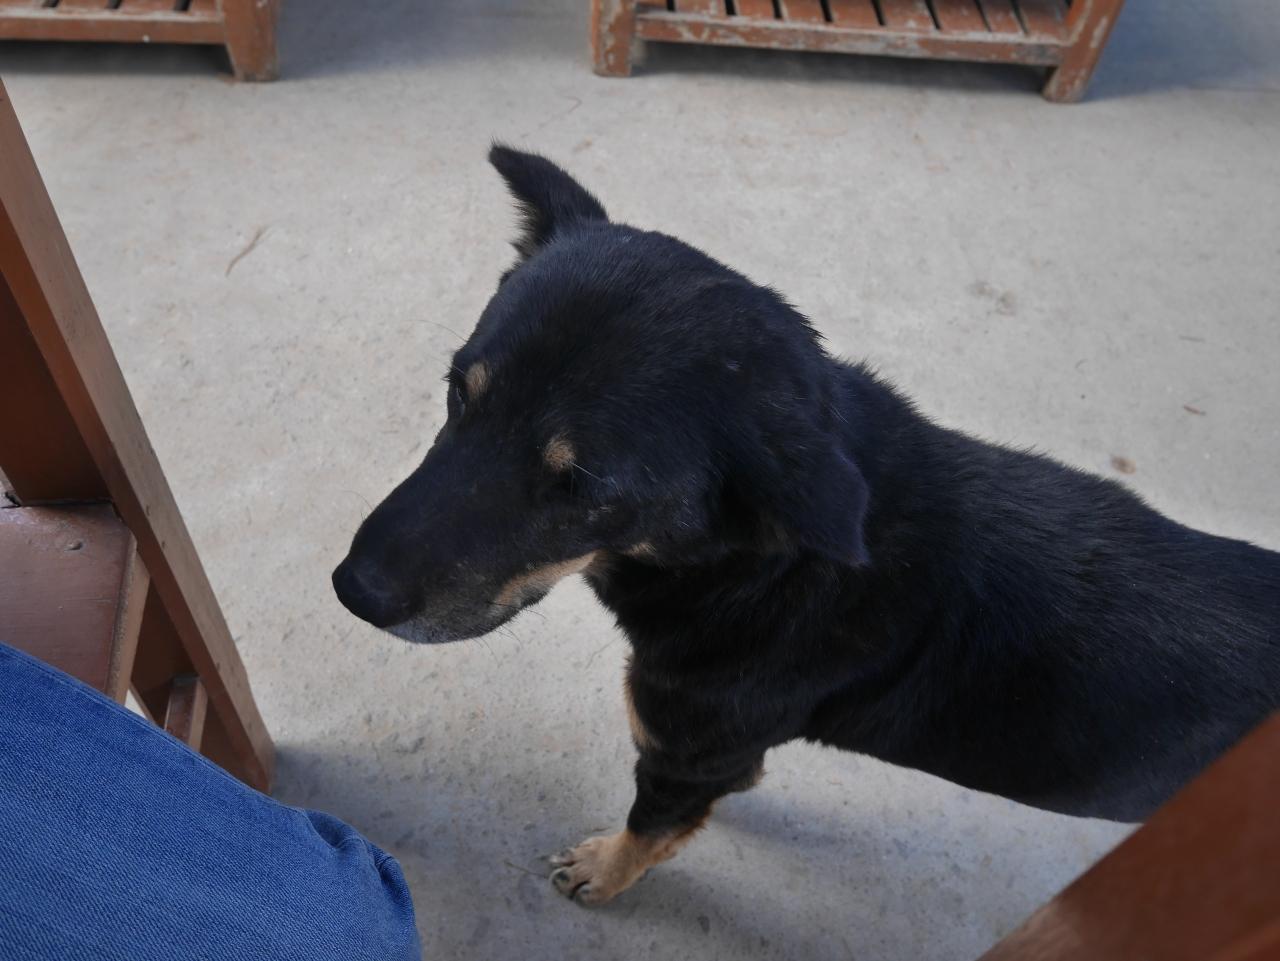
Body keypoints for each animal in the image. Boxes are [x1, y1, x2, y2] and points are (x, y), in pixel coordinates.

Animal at [333, 146, 1280, 906]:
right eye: (459, 393)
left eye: (581, 485)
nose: (351, 590)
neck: (757, 564)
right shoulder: (713, 754)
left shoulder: (685, 752)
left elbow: (649, 827)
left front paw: (605, 870)